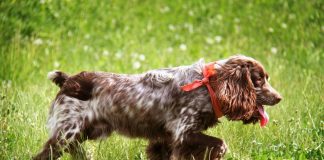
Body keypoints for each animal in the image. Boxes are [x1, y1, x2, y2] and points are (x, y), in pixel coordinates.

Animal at [33, 55, 280, 160]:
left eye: (267, 78)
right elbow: (220, 144)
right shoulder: (183, 134)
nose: (279, 97)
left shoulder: (165, 140)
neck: (209, 86)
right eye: (259, 80)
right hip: (66, 135)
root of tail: (69, 81)